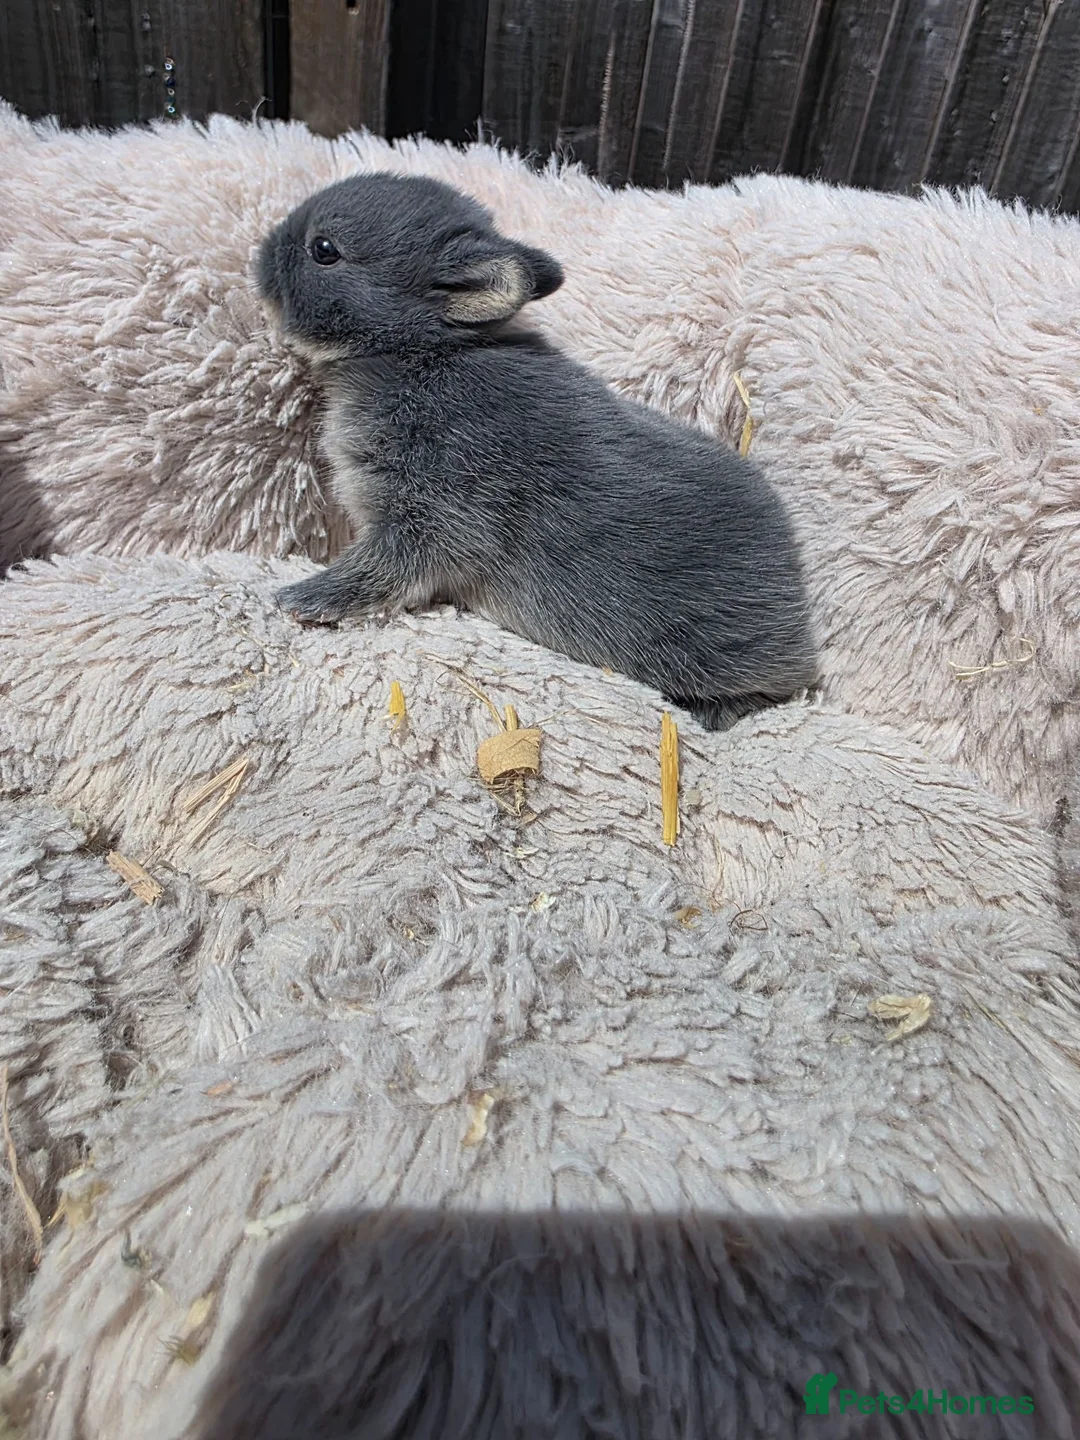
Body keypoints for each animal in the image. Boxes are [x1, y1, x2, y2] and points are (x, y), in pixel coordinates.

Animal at [256, 173, 817, 730]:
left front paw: (304, 599)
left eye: (323, 250)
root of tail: (799, 625)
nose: (261, 250)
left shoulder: (434, 514)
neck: (420, 350)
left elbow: (381, 570)